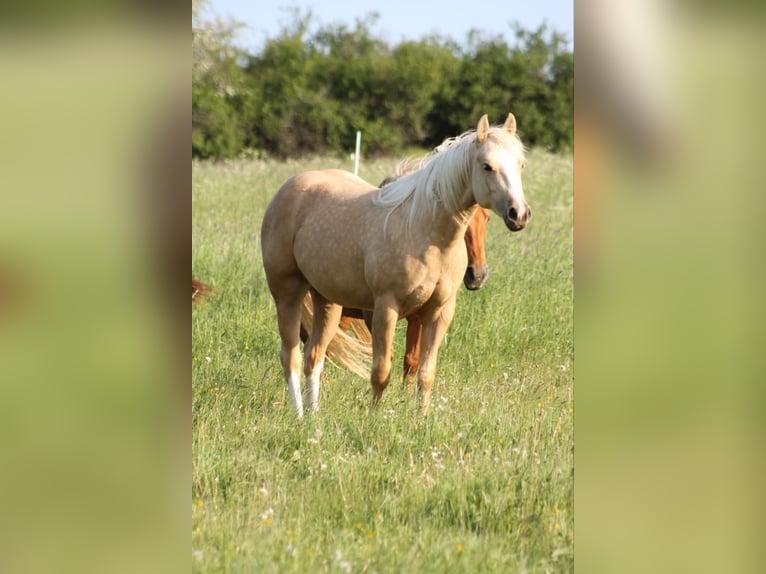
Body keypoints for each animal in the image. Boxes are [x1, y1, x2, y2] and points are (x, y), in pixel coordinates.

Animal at [260, 113, 532, 418]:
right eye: (487, 166)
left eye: (520, 164)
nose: (519, 214)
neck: (425, 232)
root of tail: (288, 188)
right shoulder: (385, 309)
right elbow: (382, 371)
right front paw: (374, 417)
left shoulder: (439, 313)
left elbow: (425, 372)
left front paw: (421, 419)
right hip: (288, 294)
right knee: (291, 357)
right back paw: (299, 415)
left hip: (327, 301)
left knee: (314, 356)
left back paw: (314, 417)